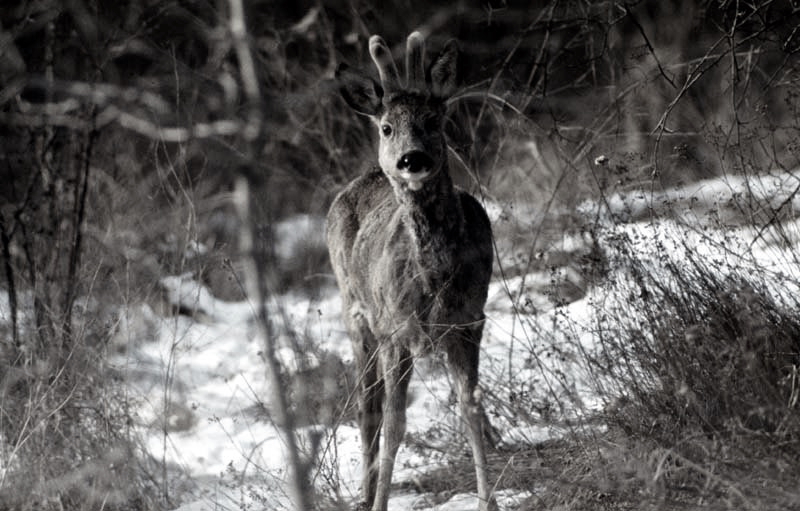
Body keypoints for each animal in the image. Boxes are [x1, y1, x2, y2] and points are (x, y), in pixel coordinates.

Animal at [324, 33, 494, 511]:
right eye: (387, 128)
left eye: (434, 120)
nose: (411, 159)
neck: (434, 276)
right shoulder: (394, 331)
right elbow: (395, 423)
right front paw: (380, 502)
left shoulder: (468, 322)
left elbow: (470, 406)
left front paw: (488, 500)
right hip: (357, 316)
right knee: (368, 410)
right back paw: (365, 496)